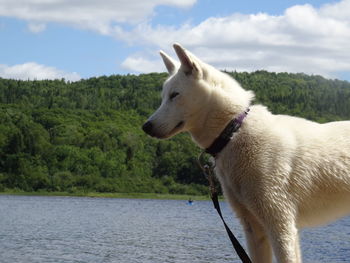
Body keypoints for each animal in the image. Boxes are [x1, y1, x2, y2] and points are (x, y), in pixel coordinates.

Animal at [142, 44, 350, 262]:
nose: (145, 126)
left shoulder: (281, 225)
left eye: (175, 95)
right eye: (163, 97)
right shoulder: (253, 228)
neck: (233, 130)